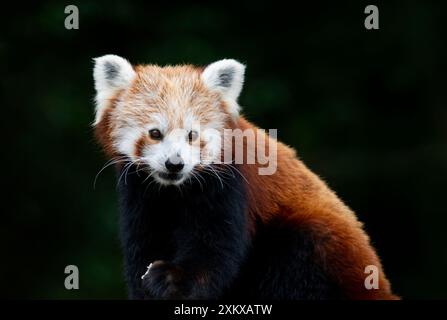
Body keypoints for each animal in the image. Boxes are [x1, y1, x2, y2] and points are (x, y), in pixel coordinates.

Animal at [92, 55, 400, 300]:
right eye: (155, 133)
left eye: (192, 134)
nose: (175, 164)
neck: (175, 190)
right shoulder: (140, 194)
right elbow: (144, 243)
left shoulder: (229, 187)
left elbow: (215, 252)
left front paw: (171, 279)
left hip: (315, 247)